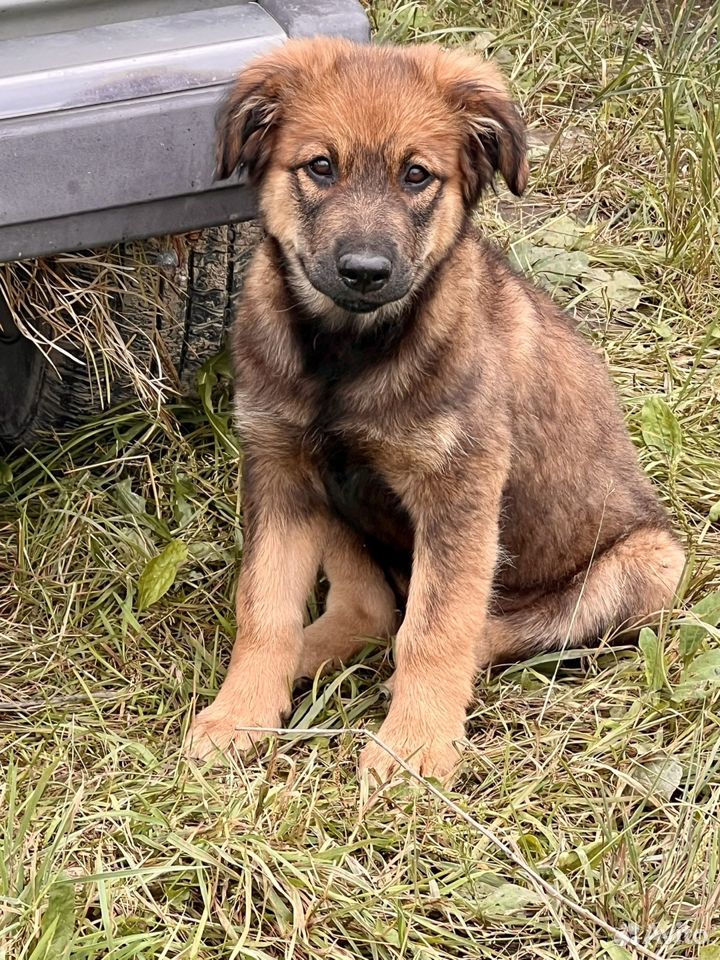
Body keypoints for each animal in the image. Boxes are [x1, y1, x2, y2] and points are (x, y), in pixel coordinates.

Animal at [184, 39, 680, 788]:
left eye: (417, 175)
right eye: (320, 167)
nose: (364, 271)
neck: (346, 357)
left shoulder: (460, 491)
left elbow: (436, 625)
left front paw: (414, 745)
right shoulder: (281, 470)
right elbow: (264, 606)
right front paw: (240, 714)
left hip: (651, 563)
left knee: (482, 628)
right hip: (339, 503)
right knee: (369, 610)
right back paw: (312, 654)